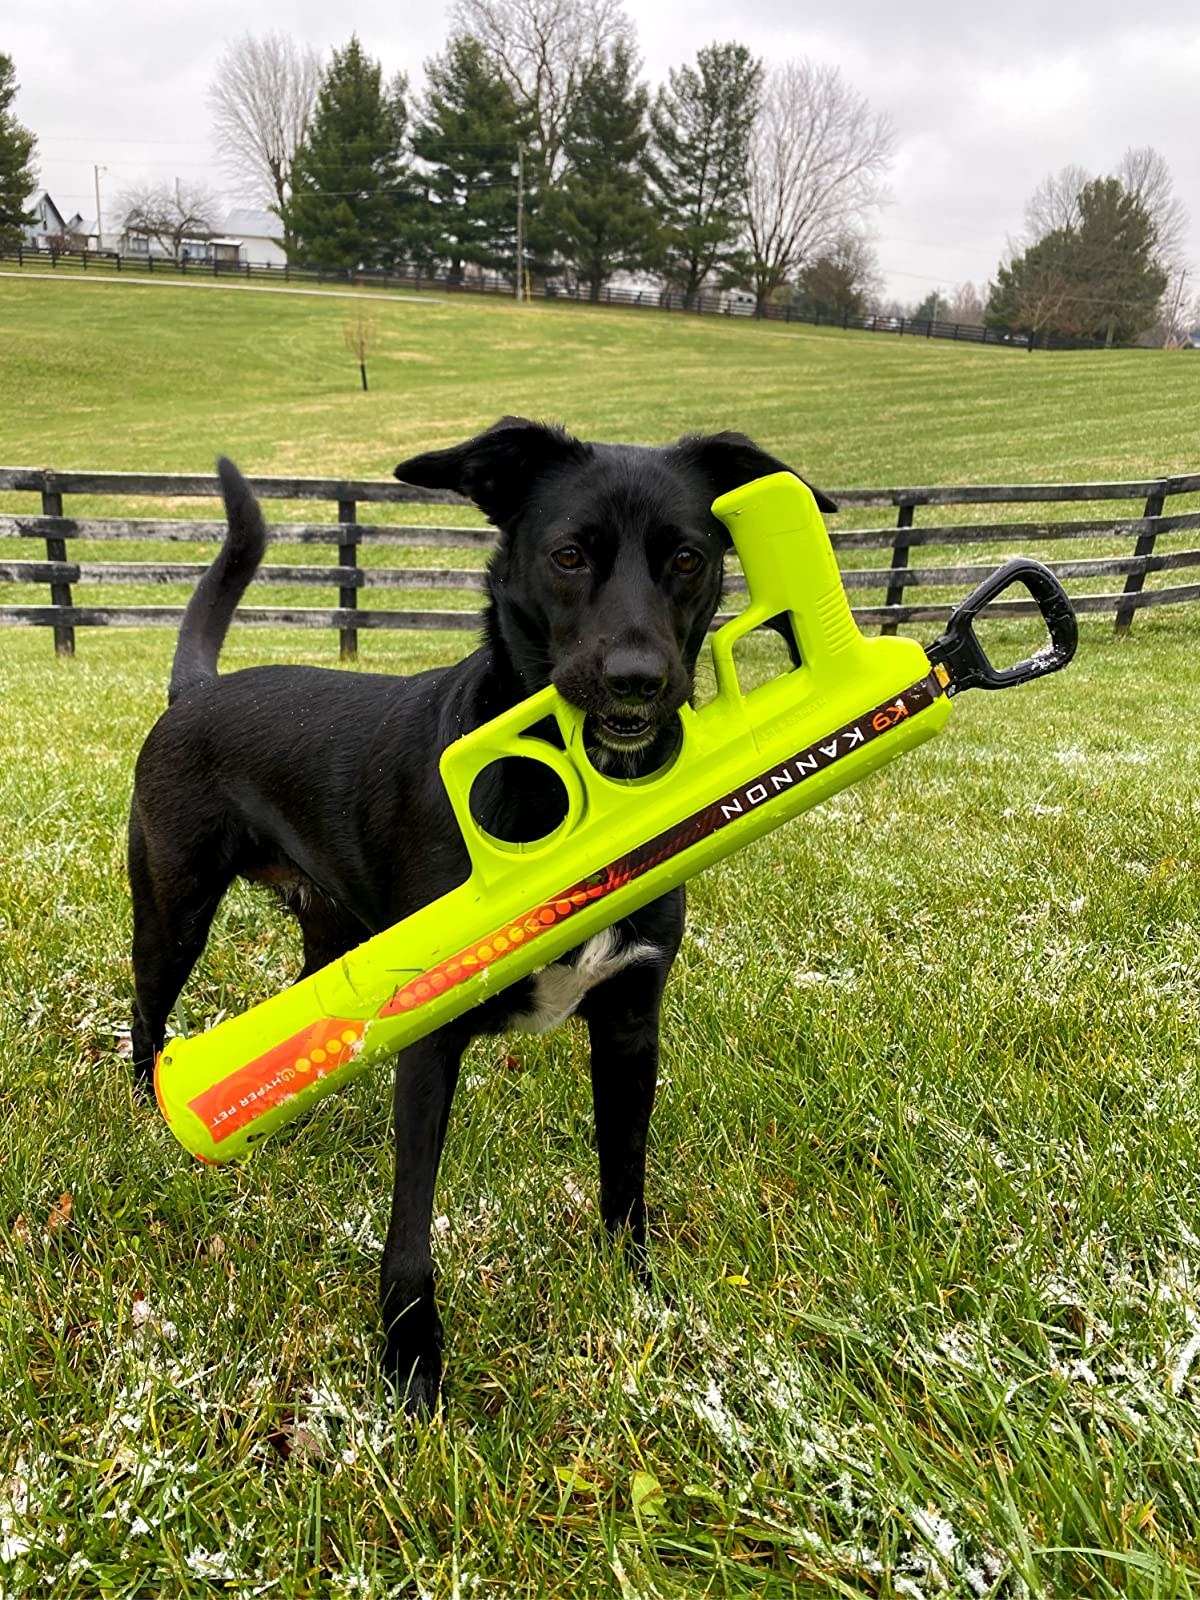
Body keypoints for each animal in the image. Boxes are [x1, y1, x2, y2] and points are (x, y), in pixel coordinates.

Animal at [127, 422, 832, 1414]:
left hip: (331, 933)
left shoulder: (632, 1020)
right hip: (173, 907)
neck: (582, 799)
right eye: (568, 555)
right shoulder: (432, 1037)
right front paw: (412, 1354)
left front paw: (638, 1291)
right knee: (149, 1015)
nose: (637, 683)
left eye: (689, 558)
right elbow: (412, 1218)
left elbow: (625, 1173)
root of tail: (196, 692)